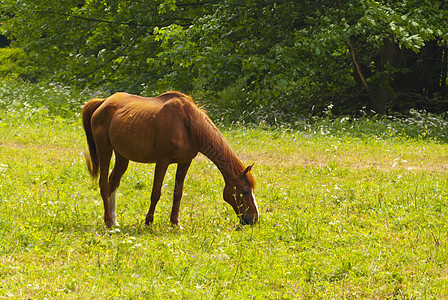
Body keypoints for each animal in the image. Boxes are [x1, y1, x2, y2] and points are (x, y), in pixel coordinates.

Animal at [82, 91, 258, 227]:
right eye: (244, 191)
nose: (253, 219)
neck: (188, 124)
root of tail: (103, 102)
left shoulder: (185, 162)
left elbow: (178, 192)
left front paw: (175, 222)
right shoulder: (162, 161)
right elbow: (156, 192)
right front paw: (148, 221)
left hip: (122, 156)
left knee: (113, 181)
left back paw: (115, 221)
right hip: (105, 150)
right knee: (104, 183)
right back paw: (108, 221)